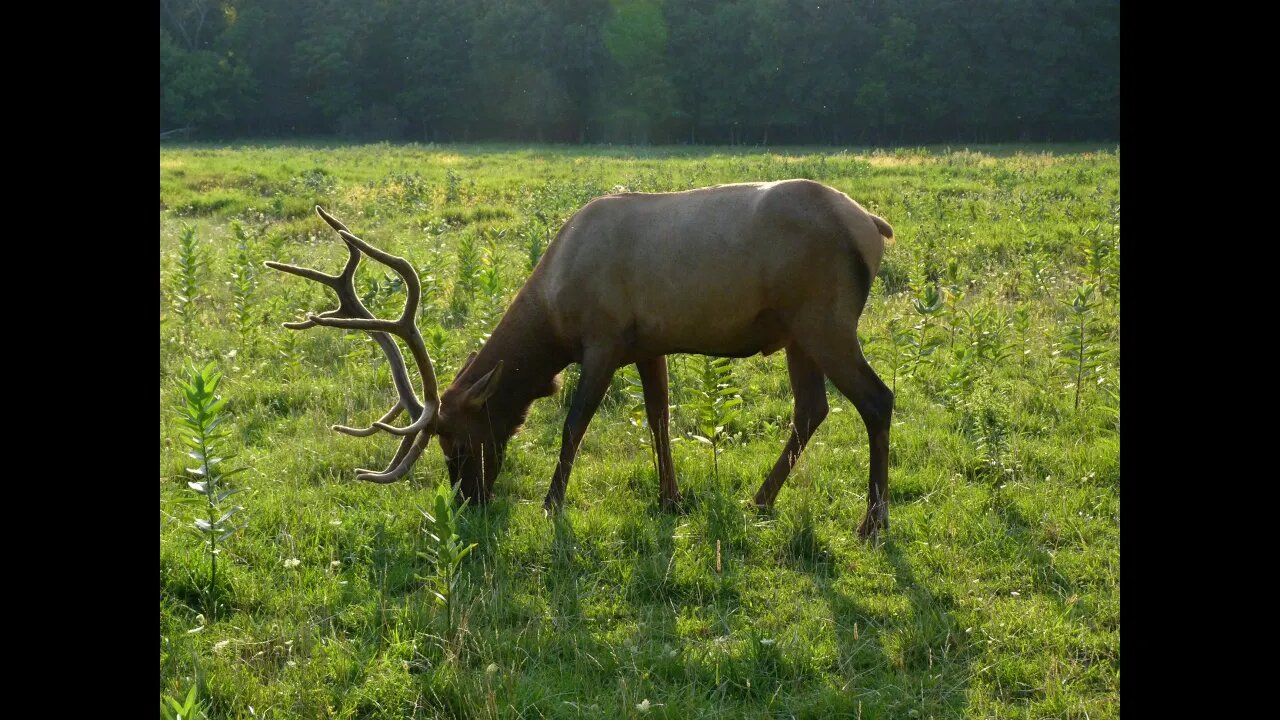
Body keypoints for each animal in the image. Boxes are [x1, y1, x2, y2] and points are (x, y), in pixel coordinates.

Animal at [264, 178, 896, 535]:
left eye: (459, 441)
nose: (468, 501)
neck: (554, 314)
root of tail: (874, 225)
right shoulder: (648, 343)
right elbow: (659, 418)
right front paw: (671, 499)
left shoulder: (604, 338)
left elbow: (573, 424)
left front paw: (551, 503)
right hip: (797, 333)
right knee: (812, 408)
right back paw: (760, 499)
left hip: (824, 318)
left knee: (876, 398)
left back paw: (871, 522)